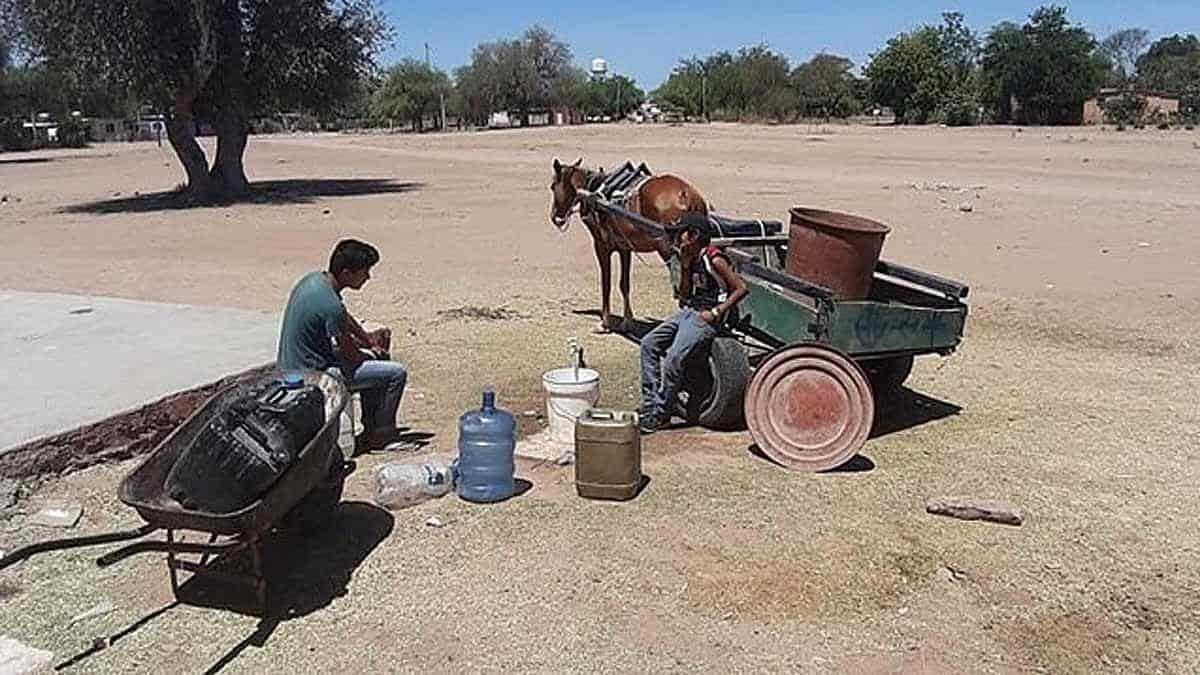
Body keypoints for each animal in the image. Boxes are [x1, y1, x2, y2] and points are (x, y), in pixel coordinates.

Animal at [549, 157, 705, 331]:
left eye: (553, 186)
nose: (555, 217)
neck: (593, 191)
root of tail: (686, 196)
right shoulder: (625, 248)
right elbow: (624, 284)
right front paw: (627, 321)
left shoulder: (601, 246)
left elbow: (606, 282)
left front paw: (605, 322)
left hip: (670, 251)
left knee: (684, 291)